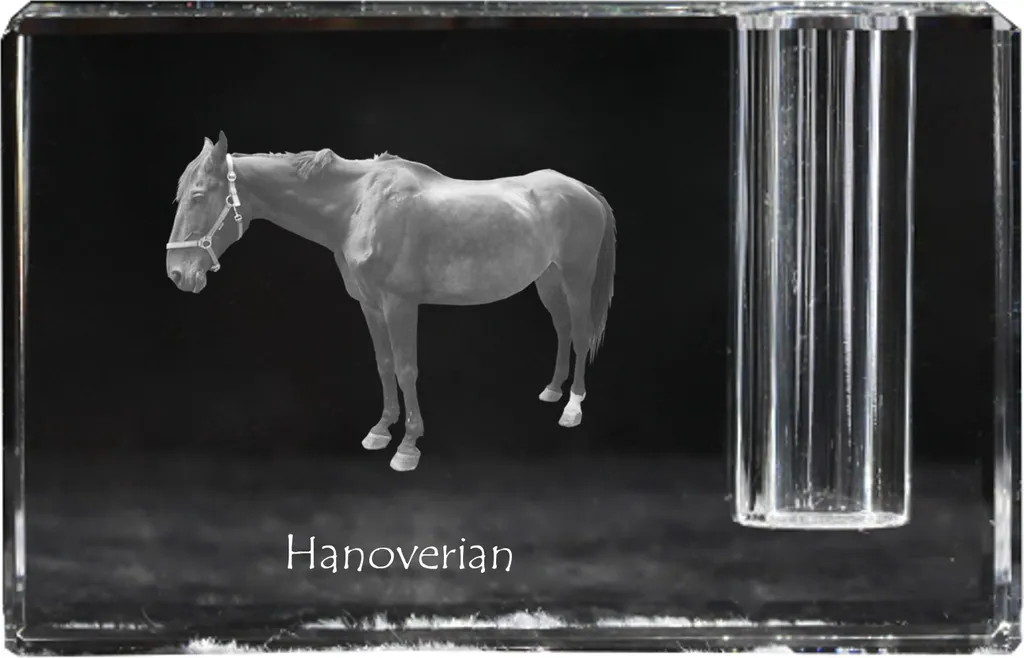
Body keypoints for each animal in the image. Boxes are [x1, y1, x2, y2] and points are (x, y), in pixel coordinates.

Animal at [166, 131, 616, 472]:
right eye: (181, 196)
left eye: (199, 196)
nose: (177, 274)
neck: (358, 206)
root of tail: (583, 190)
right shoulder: (370, 304)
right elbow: (383, 365)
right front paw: (381, 430)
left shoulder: (400, 304)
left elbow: (406, 368)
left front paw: (408, 446)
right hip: (548, 280)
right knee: (562, 329)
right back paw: (553, 390)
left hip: (576, 279)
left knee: (579, 334)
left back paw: (572, 407)